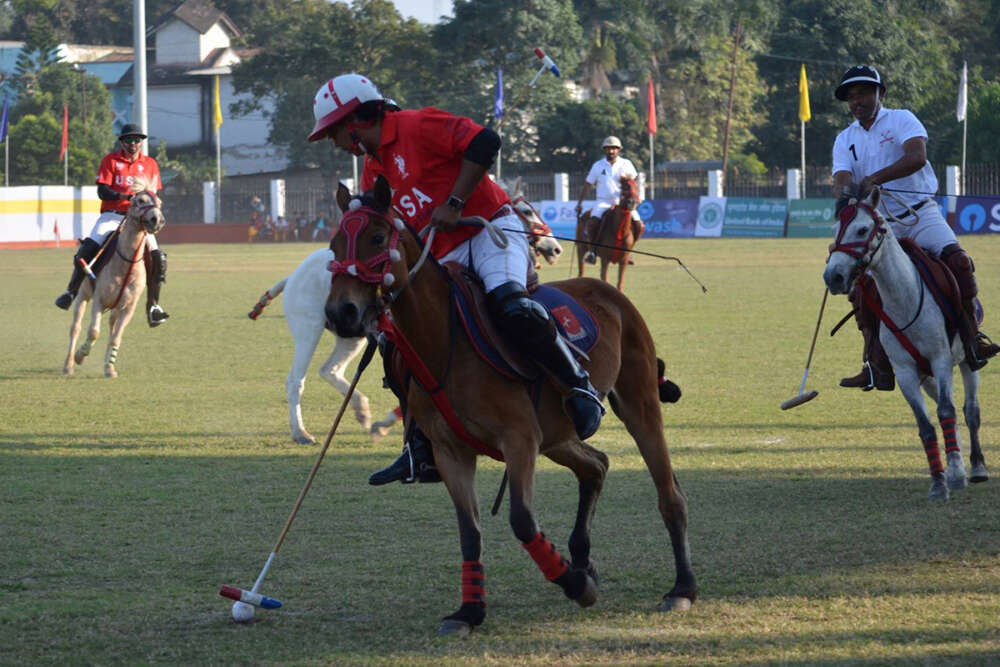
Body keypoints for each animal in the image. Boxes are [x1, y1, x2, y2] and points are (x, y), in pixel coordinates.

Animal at [63, 190, 165, 378]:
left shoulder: (129, 307)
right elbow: (93, 332)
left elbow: (116, 336)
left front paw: (110, 368)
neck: (126, 263)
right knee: (75, 327)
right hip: (83, 295)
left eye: (159, 203)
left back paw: (106, 362)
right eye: (140, 200)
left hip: (117, 306)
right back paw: (68, 365)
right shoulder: (99, 300)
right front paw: (81, 355)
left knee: (111, 326)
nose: (157, 220)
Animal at [324, 176, 692, 636]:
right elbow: (470, 532)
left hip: (637, 403)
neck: (441, 340)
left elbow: (521, 520)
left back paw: (681, 588)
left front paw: (574, 584)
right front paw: (469, 611)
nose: (341, 313)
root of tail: (613, 295)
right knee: (596, 465)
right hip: (556, 434)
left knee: (669, 493)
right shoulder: (451, 451)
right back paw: (583, 558)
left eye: (376, 238)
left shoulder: (518, 438)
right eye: (334, 244)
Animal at [824, 188, 988, 500]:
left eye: (862, 229)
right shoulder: (905, 371)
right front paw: (938, 482)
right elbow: (926, 426)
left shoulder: (940, 359)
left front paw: (956, 475)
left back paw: (976, 467)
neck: (905, 298)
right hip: (926, 374)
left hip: (965, 360)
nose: (833, 276)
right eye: (834, 228)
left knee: (970, 410)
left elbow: (947, 411)